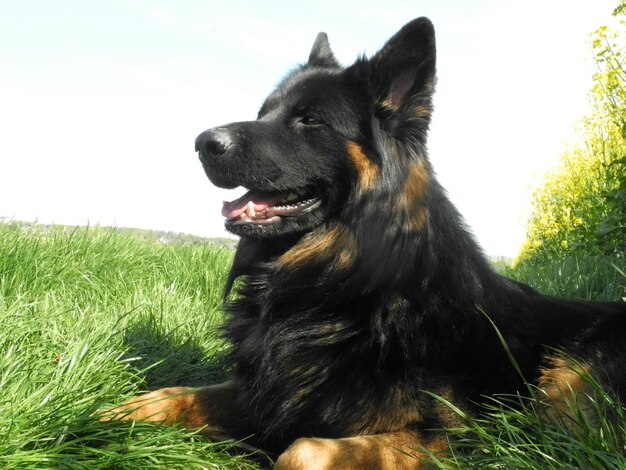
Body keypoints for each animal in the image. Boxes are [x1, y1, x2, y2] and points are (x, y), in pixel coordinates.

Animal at [116, 17, 624, 466]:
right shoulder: (262, 390)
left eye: (310, 121)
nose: (203, 142)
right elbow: (172, 394)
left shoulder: (457, 435)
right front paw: (112, 414)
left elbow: (299, 452)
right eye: (264, 114)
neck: (334, 283)